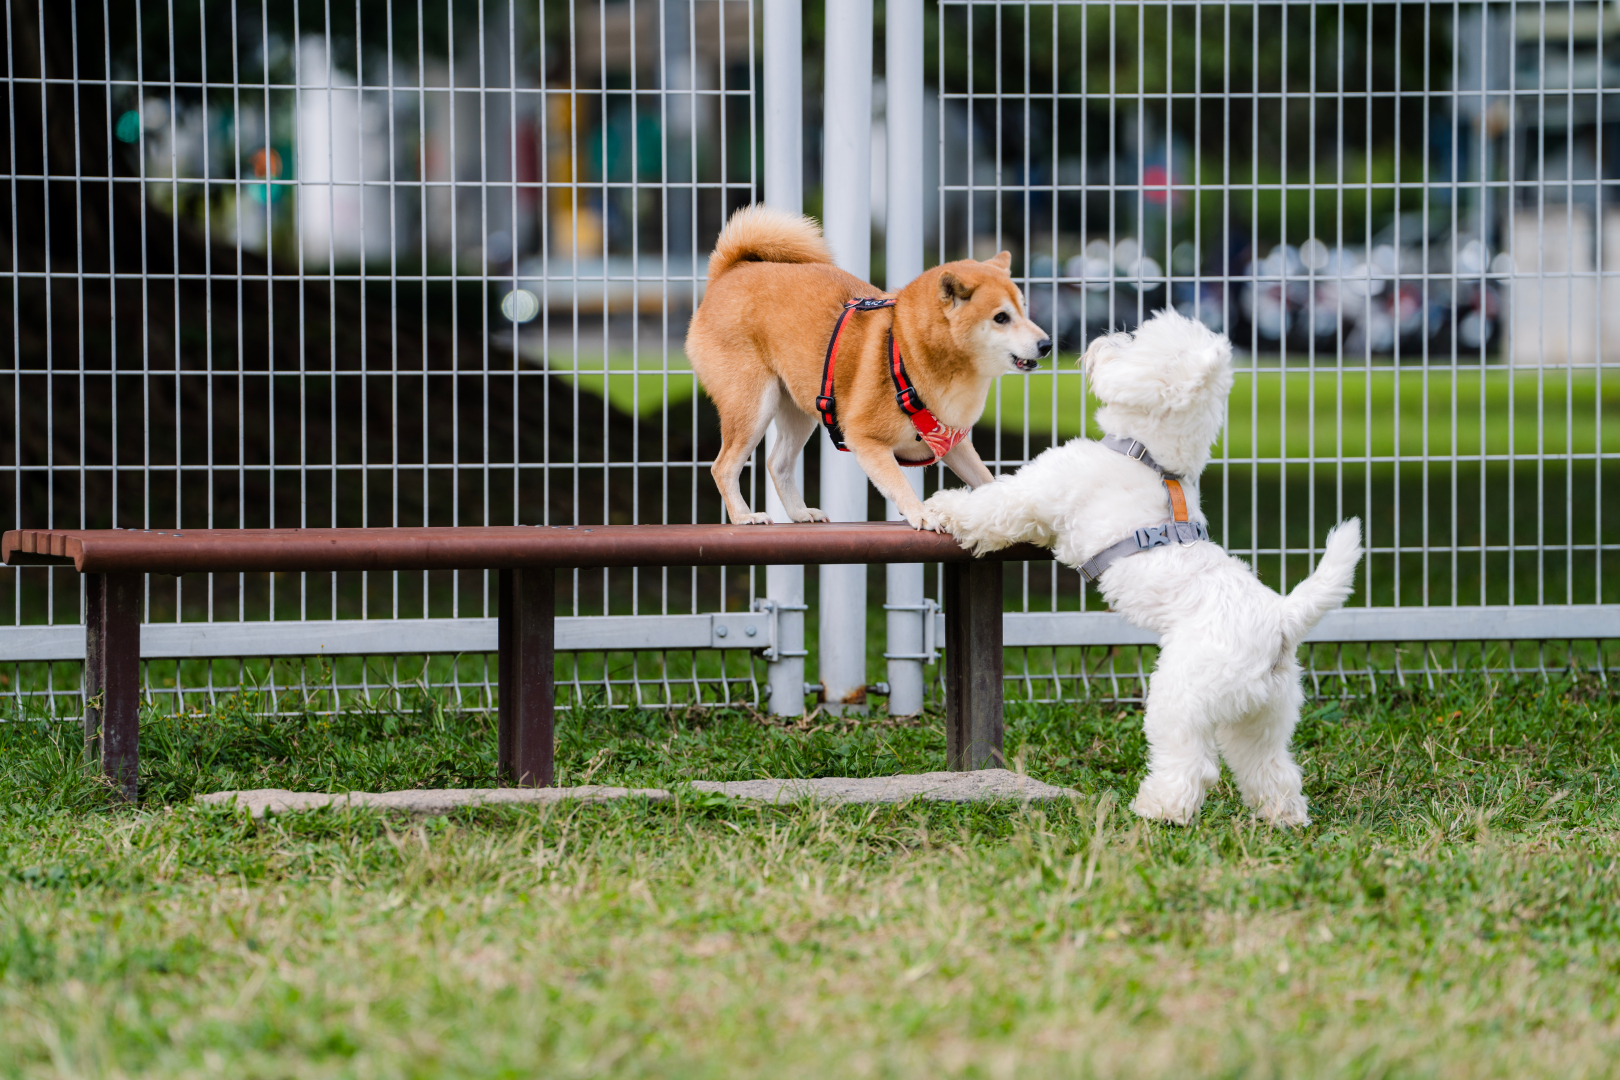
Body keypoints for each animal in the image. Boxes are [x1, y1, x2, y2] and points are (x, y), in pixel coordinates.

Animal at [920, 312, 1360, 829]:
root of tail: (1282, 619)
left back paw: (1160, 810)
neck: (1147, 454)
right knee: (1272, 767)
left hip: (1181, 699)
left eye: (1136, 340)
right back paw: (1282, 817)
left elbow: (993, 506)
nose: (1102, 338)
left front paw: (943, 506)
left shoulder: (1037, 493)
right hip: (1264, 716)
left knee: (1192, 764)